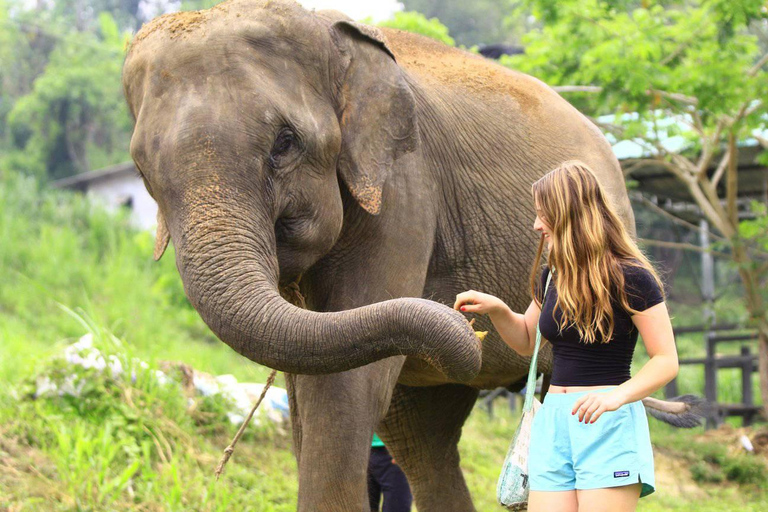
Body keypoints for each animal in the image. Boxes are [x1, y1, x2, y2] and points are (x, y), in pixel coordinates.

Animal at [123, 2, 704, 510]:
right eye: (143, 170)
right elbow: (311, 387)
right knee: (422, 438)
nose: (464, 317)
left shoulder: (405, 190)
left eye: (284, 143)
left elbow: (343, 392)